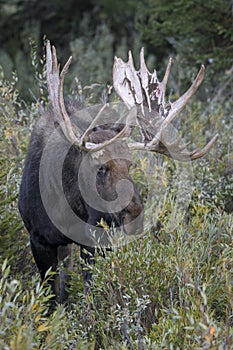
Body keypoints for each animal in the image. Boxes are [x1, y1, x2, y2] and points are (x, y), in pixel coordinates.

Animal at [17, 41, 217, 302]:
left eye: (130, 165)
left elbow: (89, 292)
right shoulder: (38, 239)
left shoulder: (95, 240)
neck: (65, 206)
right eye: (101, 168)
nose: (135, 214)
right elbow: (52, 297)